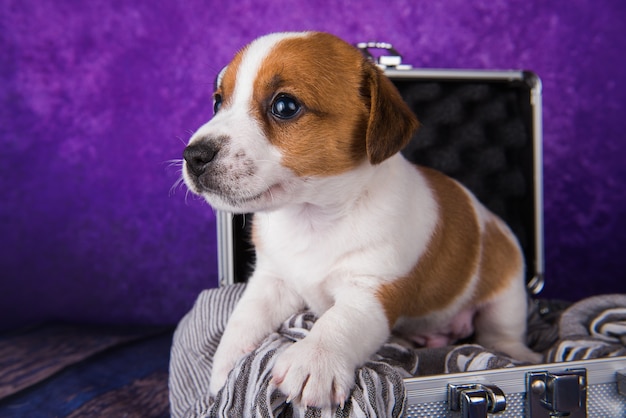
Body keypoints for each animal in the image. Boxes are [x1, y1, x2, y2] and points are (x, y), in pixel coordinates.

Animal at [182, 31, 540, 408]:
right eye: (218, 102)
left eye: (285, 106)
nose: (194, 155)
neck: (312, 217)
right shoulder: (271, 279)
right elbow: (245, 317)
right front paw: (228, 364)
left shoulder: (372, 289)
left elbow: (340, 321)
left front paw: (315, 358)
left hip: (506, 292)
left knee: (501, 332)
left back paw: (517, 353)